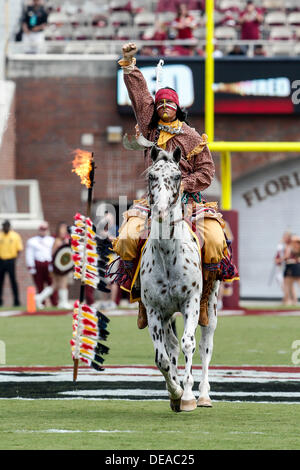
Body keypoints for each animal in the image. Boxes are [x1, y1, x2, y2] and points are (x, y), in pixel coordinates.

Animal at [139, 146, 219, 412]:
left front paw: (187, 396)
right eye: (151, 176)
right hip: (166, 315)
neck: (168, 256)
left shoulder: (190, 303)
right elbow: (162, 358)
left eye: (177, 176)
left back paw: (202, 395)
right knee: (172, 346)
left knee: (205, 345)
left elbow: (189, 344)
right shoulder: (154, 310)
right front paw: (174, 392)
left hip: (210, 306)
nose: (162, 211)